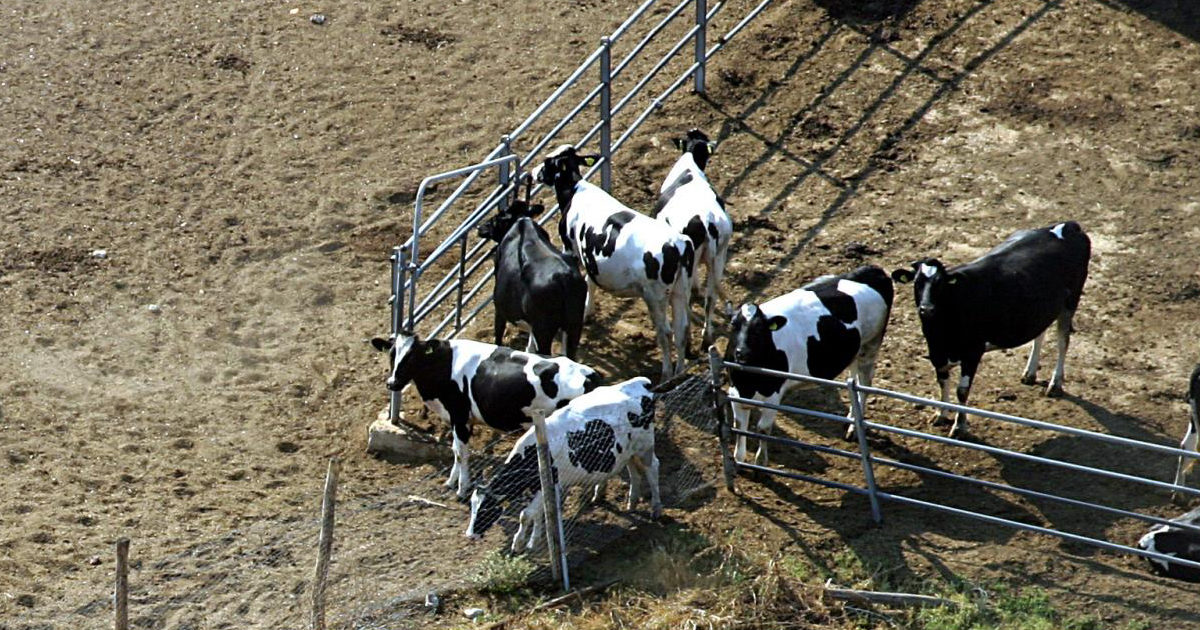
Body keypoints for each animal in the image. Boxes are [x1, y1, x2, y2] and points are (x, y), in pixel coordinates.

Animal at [463, 376, 662, 552]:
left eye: (485, 509)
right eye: (472, 506)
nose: (470, 535)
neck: (533, 454)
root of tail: (641, 383)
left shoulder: (548, 485)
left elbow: (526, 515)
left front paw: (520, 544)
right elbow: (540, 513)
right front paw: (537, 539)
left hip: (645, 446)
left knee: (652, 469)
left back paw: (655, 509)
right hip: (628, 450)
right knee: (633, 470)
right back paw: (632, 502)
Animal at [477, 176, 590, 360]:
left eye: (499, 216)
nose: (481, 227)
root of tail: (563, 278)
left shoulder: (499, 307)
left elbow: (498, 334)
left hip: (544, 329)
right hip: (574, 325)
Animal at [535, 143, 696, 379]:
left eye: (548, 162)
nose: (533, 172)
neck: (574, 190)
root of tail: (678, 243)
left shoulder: (570, 246)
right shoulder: (590, 256)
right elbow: (590, 279)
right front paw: (588, 311)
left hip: (655, 296)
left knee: (665, 333)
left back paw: (666, 374)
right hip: (681, 289)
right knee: (681, 330)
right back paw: (680, 372)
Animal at [888, 222, 1094, 436]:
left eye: (940, 284)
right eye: (917, 283)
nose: (926, 308)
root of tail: (1067, 225)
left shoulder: (973, 352)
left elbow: (962, 391)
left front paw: (959, 426)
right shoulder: (937, 352)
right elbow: (942, 381)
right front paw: (941, 414)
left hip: (1071, 299)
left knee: (1063, 341)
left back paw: (1055, 383)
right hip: (1042, 308)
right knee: (1040, 333)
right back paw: (1030, 373)